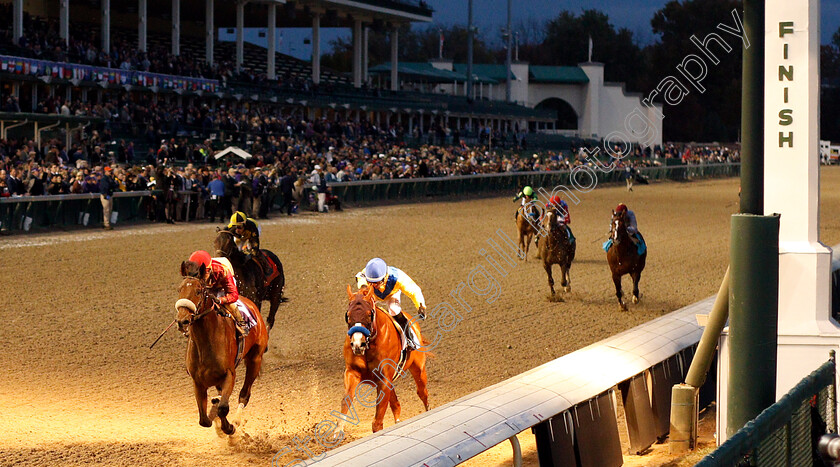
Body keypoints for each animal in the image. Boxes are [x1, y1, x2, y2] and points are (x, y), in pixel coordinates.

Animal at [176, 262, 268, 436]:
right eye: (179, 289)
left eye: (198, 291)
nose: (182, 321)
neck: (205, 344)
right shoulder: (198, 381)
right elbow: (204, 420)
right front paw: (217, 417)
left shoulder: (229, 375)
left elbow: (223, 408)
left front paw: (229, 427)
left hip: (255, 359)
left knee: (244, 395)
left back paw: (235, 420)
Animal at [340, 286, 430, 436]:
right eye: (348, 315)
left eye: (369, 314)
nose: (358, 344)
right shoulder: (352, 372)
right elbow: (346, 400)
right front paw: (337, 430)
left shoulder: (384, 380)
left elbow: (377, 421)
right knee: (396, 405)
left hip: (418, 369)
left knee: (422, 393)